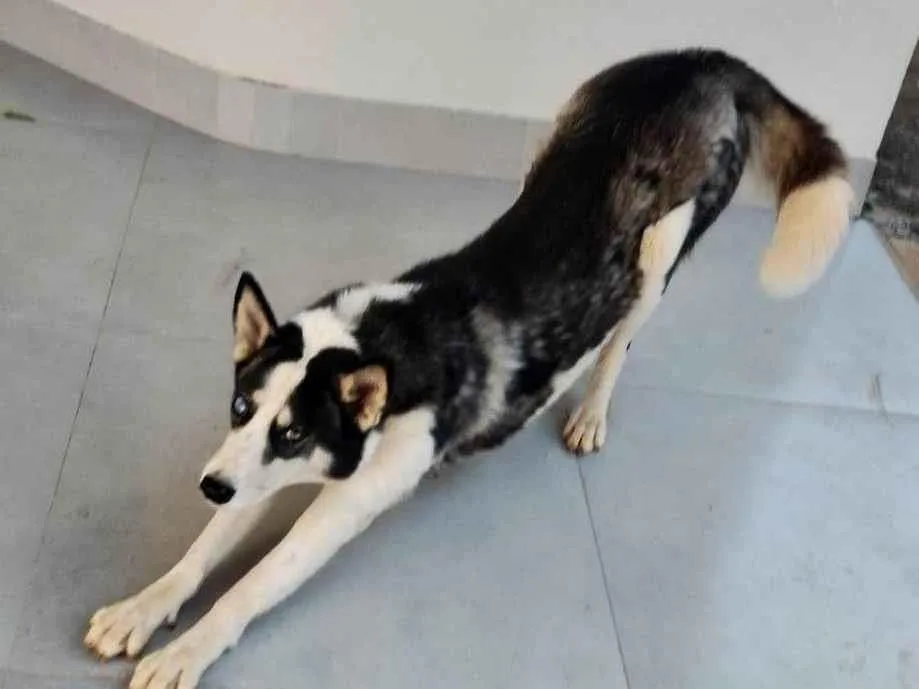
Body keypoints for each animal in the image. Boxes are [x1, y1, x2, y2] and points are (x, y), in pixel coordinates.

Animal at [84, 48, 852, 688]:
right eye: (241, 408)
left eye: (294, 432)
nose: (209, 486)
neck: (381, 340)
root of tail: (704, 62)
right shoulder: (251, 466)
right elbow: (201, 553)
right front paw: (145, 605)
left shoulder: (343, 500)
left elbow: (249, 585)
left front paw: (188, 648)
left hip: (659, 252)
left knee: (620, 340)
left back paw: (590, 408)